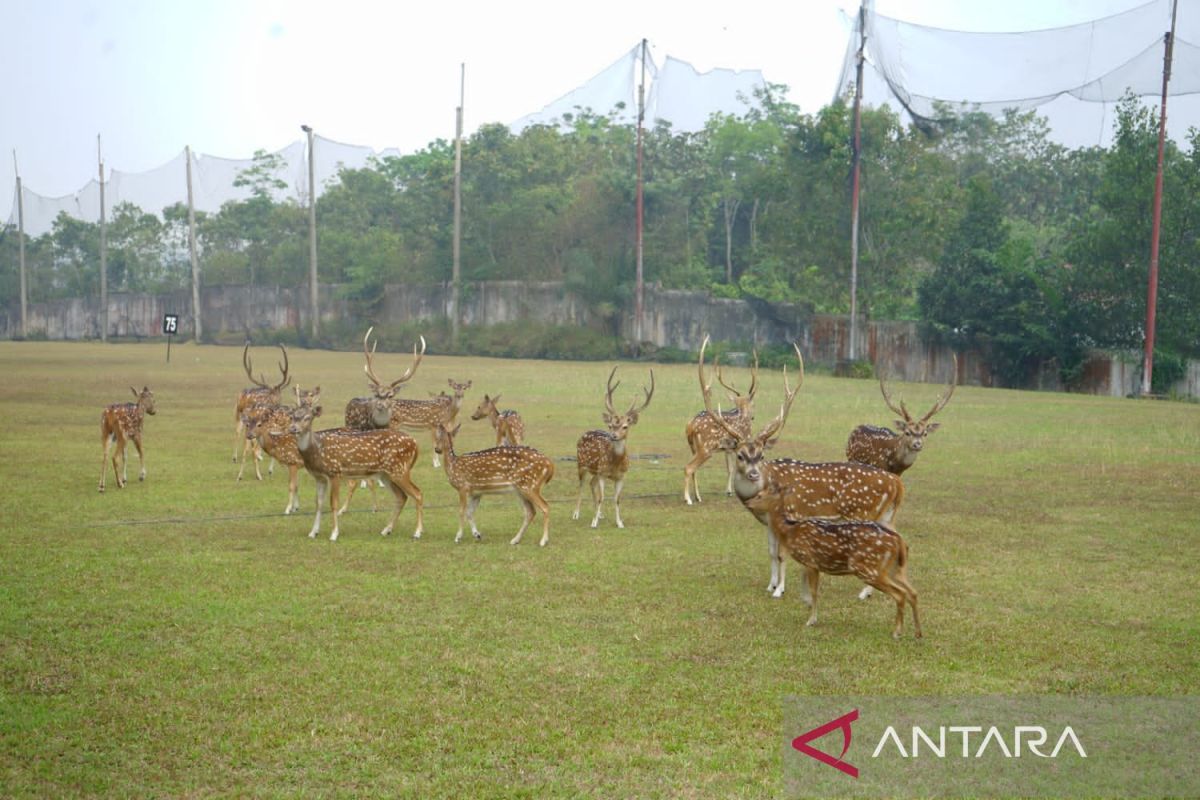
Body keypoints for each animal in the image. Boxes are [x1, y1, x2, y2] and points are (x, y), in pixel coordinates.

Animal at [571, 369, 657, 532]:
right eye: (610, 425)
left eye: (625, 426)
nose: (613, 435)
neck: (615, 463)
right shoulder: (603, 473)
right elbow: (601, 497)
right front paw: (593, 523)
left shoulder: (621, 476)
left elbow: (617, 499)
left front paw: (619, 523)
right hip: (581, 464)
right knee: (581, 485)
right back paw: (576, 514)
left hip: (595, 471)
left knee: (591, 483)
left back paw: (599, 514)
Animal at [686, 347, 758, 503]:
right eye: (753, 404)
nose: (753, 416)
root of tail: (690, 426)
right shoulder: (741, 443)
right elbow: (738, 467)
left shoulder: (728, 448)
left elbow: (729, 468)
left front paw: (729, 491)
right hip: (706, 448)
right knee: (689, 467)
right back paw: (688, 499)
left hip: (693, 447)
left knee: (694, 469)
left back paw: (698, 496)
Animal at [700, 335, 902, 604]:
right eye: (741, 455)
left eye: (761, 455)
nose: (753, 474)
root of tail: (897, 484)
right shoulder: (769, 523)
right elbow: (771, 552)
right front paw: (770, 585)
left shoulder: (790, 515)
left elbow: (782, 554)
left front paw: (780, 590)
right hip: (886, 515)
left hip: (866, 512)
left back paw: (864, 592)